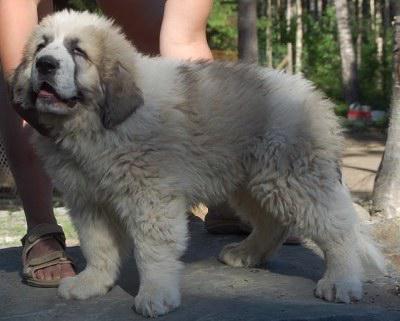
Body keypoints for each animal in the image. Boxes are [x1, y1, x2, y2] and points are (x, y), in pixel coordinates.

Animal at [10, 10, 382, 318]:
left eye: (78, 52)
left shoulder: (150, 198)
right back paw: (247, 253)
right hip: (251, 181)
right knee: (272, 223)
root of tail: (315, 97)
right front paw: (92, 282)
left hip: (292, 178)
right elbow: (98, 246)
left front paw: (155, 294)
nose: (44, 64)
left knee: (337, 230)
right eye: (41, 46)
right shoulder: (88, 201)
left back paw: (341, 281)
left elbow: (152, 250)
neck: (96, 126)